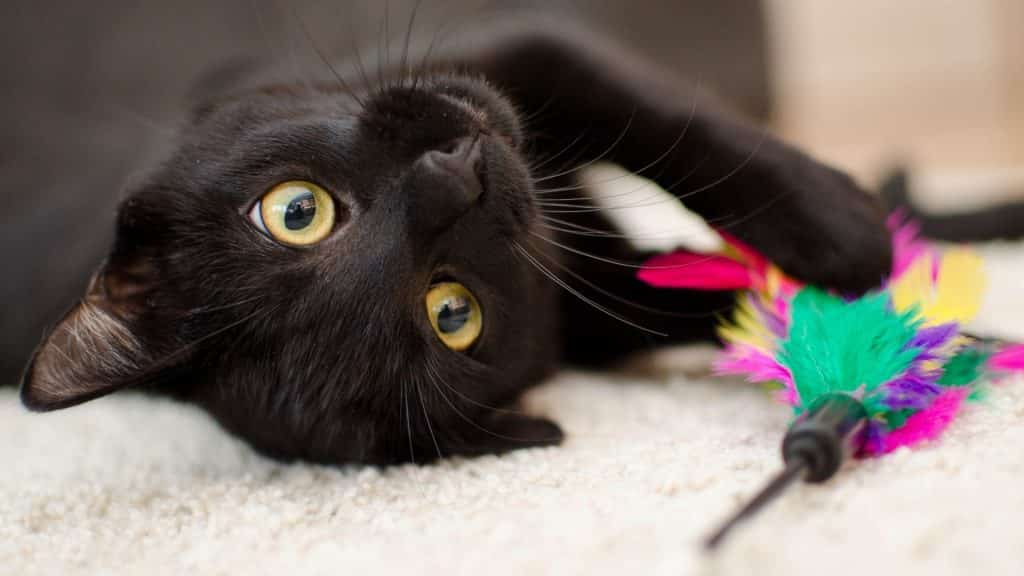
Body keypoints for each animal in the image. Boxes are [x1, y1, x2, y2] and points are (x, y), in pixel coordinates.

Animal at [14, 22, 888, 463]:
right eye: (451, 313)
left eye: (296, 212)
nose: (455, 180)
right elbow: (697, 294)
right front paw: (864, 309)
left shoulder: (525, 44)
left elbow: (667, 121)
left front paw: (847, 232)